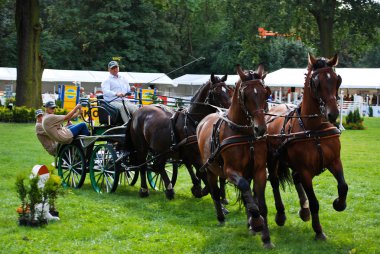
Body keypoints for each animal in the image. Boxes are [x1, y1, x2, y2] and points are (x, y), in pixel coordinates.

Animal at [196, 64, 274, 248]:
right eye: (245, 95)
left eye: (264, 92)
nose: (260, 128)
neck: (245, 134)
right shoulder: (230, 171)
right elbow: (244, 187)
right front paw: (257, 222)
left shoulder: (259, 171)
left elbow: (261, 204)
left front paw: (265, 237)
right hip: (210, 170)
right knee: (215, 192)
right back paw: (221, 216)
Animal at [266, 52, 348, 239]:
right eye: (316, 83)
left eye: (337, 80)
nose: (333, 113)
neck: (314, 129)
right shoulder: (305, 171)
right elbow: (314, 202)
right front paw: (318, 230)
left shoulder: (335, 161)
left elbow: (343, 186)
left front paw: (339, 204)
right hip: (272, 159)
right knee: (274, 181)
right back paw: (280, 214)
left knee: (294, 178)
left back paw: (303, 211)